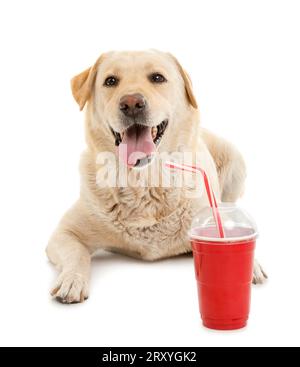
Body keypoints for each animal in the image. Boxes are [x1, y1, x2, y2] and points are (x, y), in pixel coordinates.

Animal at [45, 51, 268, 304]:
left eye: (157, 77)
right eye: (110, 81)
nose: (131, 103)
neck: (145, 184)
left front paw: (251, 265)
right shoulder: (64, 233)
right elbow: (77, 253)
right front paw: (72, 280)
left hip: (233, 158)